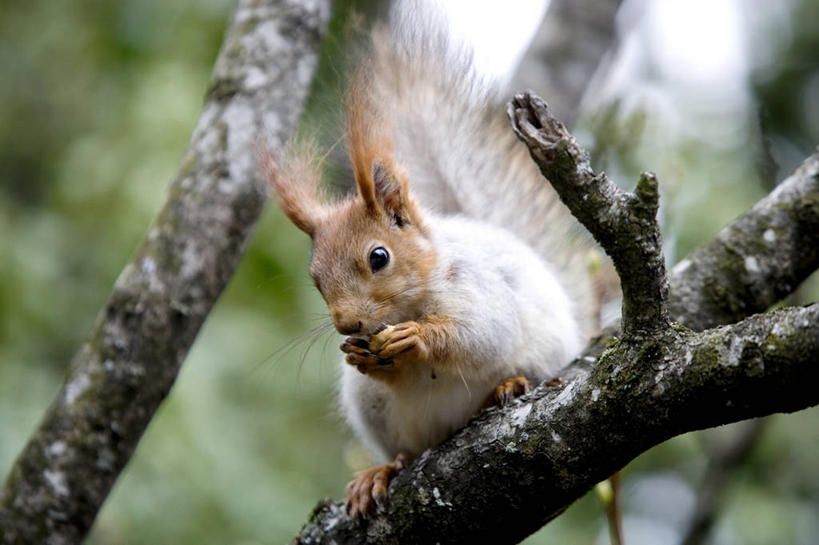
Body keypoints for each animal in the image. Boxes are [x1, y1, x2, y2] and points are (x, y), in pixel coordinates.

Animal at [266, 0, 592, 520]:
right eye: (315, 279)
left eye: (379, 256)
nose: (347, 325)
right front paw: (364, 356)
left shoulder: (478, 288)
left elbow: (482, 334)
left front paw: (416, 338)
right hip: (375, 411)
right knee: (407, 450)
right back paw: (382, 471)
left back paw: (508, 387)